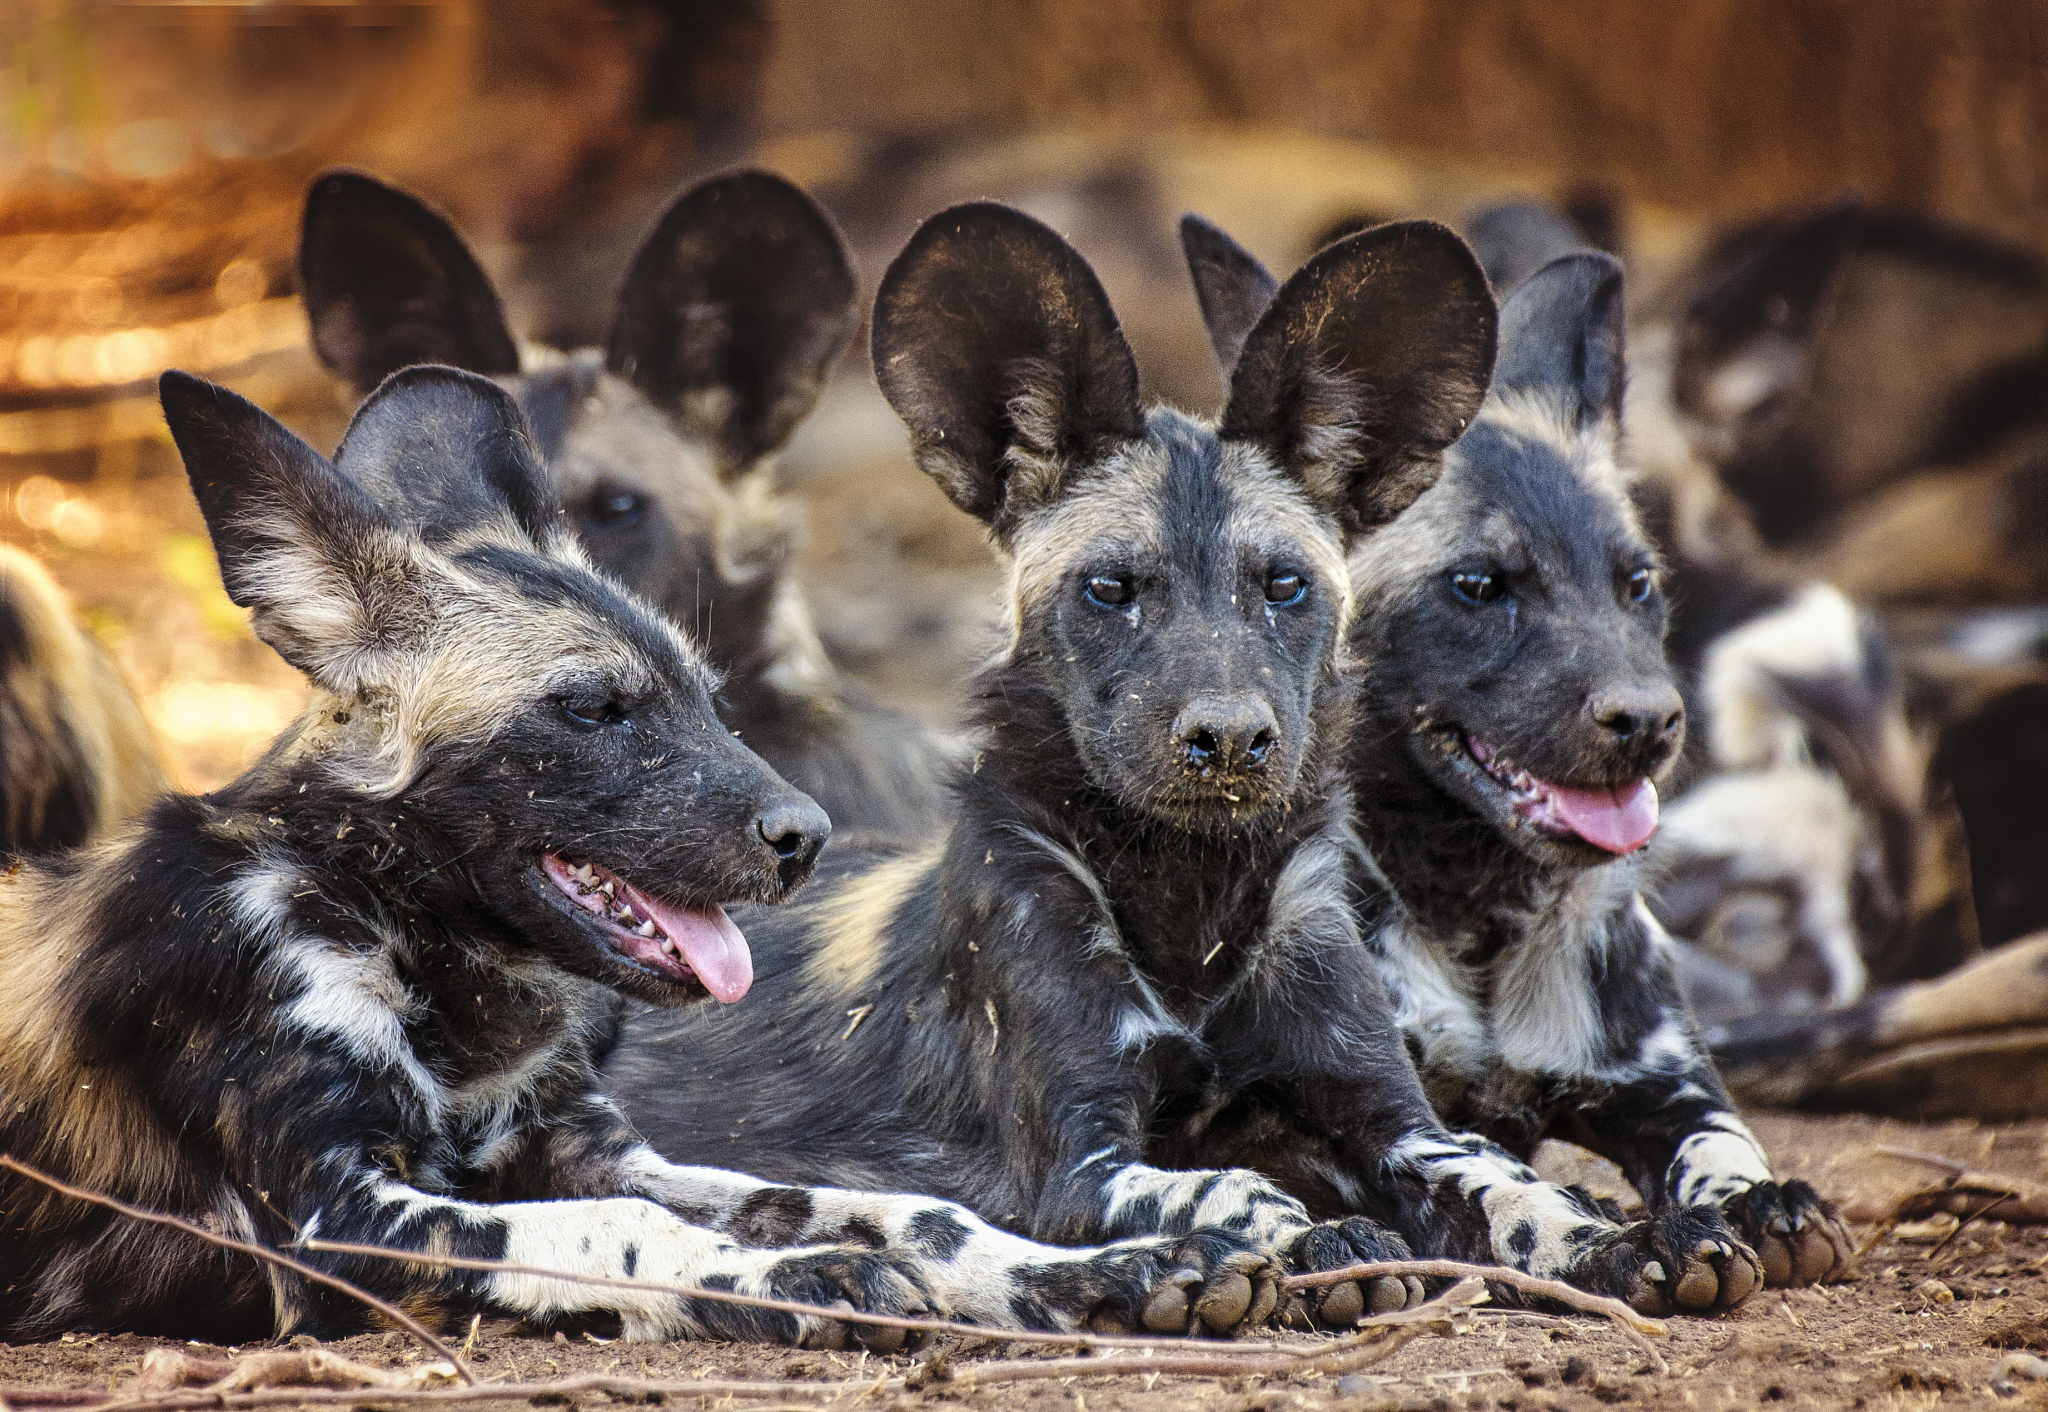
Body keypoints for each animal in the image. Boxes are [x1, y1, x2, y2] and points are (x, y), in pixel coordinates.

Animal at [607, 202, 1739, 1327]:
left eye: (1283, 585)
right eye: (1110, 588)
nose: (1229, 737)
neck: (1193, 899)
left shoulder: (1392, 1120)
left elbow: (1510, 1184)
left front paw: (1630, 1239)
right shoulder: (1075, 1169)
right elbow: (1232, 1187)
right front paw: (1307, 1245)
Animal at [1181, 223, 1855, 1303]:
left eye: (1636, 583)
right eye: (1478, 585)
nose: (1649, 720)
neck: (1477, 917)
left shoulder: (1662, 1084)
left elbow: (1722, 1142)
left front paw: (1757, 1201)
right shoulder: (1369, 1124)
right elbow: (1513, 1193)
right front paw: (1616, 1239)